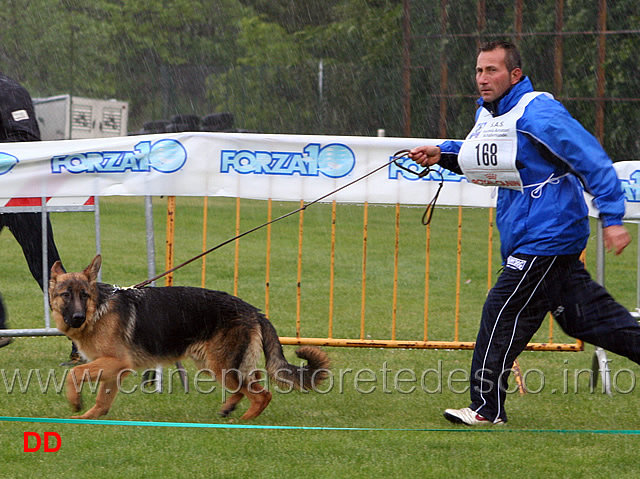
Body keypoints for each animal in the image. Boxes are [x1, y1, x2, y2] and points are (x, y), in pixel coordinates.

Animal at [49, 255, 330, 420]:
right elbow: (102, 399)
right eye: (66, 294)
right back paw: (229, 409)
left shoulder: (117, 362)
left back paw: (242, 422)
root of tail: (252, 310)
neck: (98, 309)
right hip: (214, 364)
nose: (77, 317)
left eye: (84, 295)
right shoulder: (113, 368)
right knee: (252, 382)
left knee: (262, 394)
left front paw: (75, 404)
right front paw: (88, 419)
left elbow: (73, 373)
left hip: (220, 366)